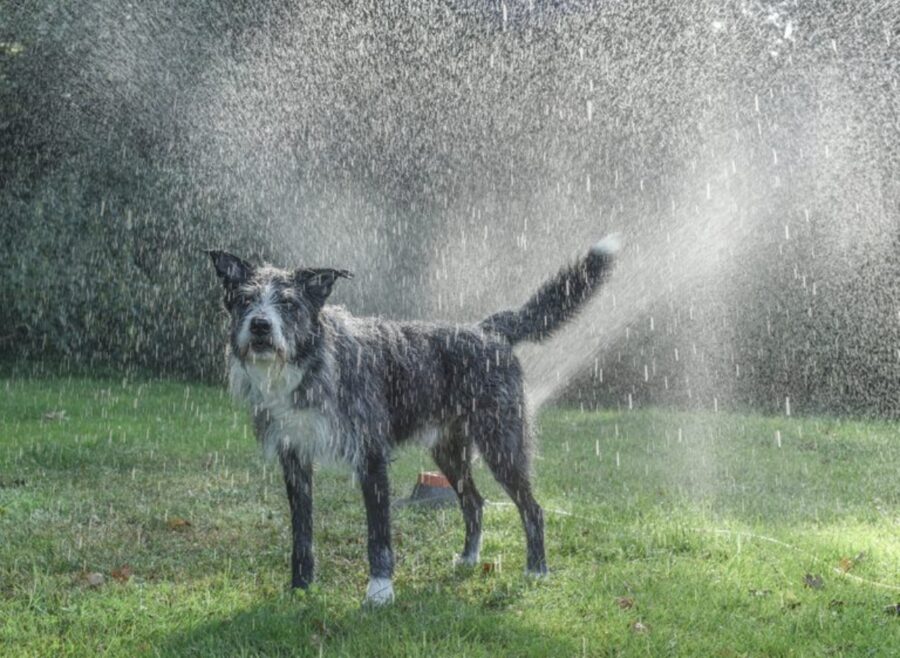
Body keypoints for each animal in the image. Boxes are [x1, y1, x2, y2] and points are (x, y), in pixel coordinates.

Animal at [207, 234, 620, 600]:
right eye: (245, 300)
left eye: (289, 304)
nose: (260, 326)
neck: (310, 366)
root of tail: (487, 329)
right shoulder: (294, 458)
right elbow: (301, 532)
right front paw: (301, 587)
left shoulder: (371, 459)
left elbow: (379, 534)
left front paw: (379, 591)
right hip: (449, 451)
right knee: (474, 502)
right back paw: (469, 559)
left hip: (502, 444)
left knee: (532, 508)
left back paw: (536, 570)